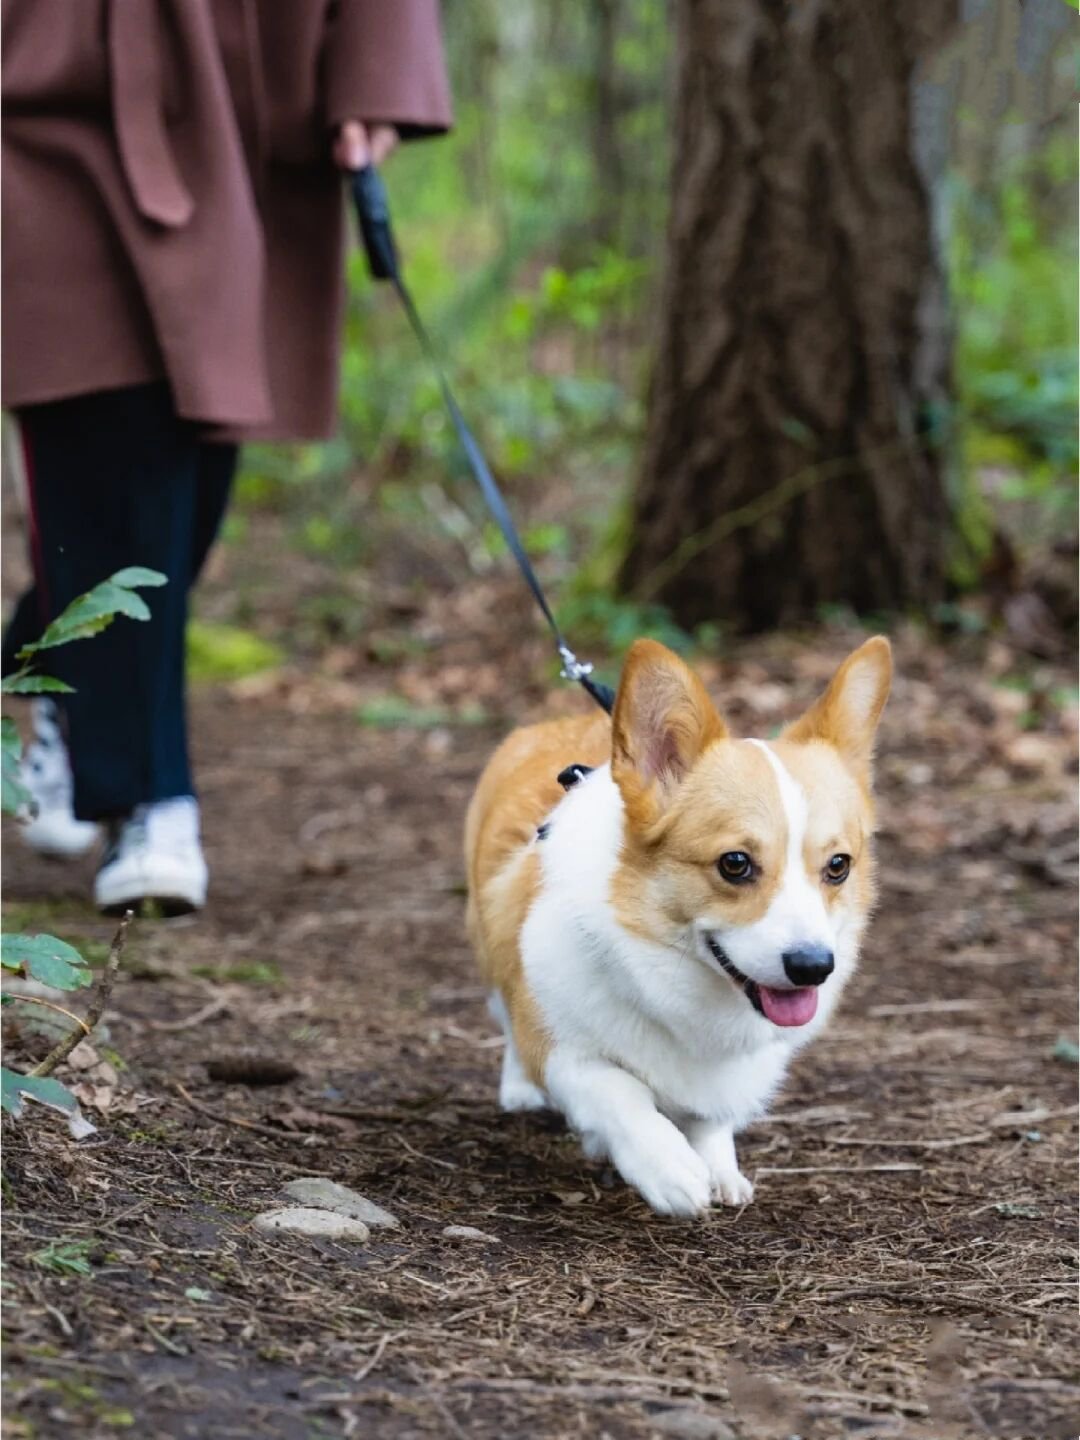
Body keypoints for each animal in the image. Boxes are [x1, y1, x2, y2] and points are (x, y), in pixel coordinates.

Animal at [466, 639, 898, 1215]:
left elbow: (711, 1117)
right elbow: (619, 1090)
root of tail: (553, 721)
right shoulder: (561, 1050)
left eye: (838, 866)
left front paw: (719, 1169)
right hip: (489, 938)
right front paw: (668, 1166)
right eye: (735, 863)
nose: (812, 968)